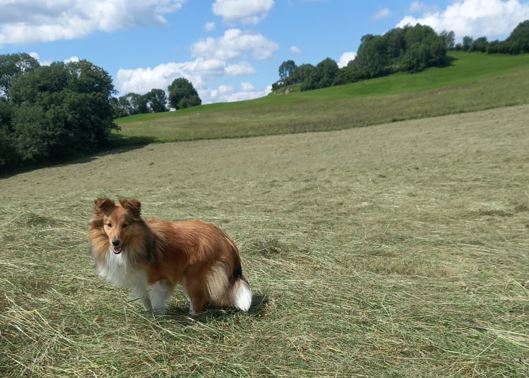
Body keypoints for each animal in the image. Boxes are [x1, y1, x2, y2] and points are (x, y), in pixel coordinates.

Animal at [87, 199, 252, 314]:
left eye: (125, 225)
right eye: (108, 225)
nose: (115, 242)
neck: (136, 245)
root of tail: (226, 238)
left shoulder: (159, 278)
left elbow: (156, 299)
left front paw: (158, 314)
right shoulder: (138, 279)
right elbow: (145, 299)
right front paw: (149, 313)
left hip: (193, 275)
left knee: (198, 300)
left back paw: (192, 315)